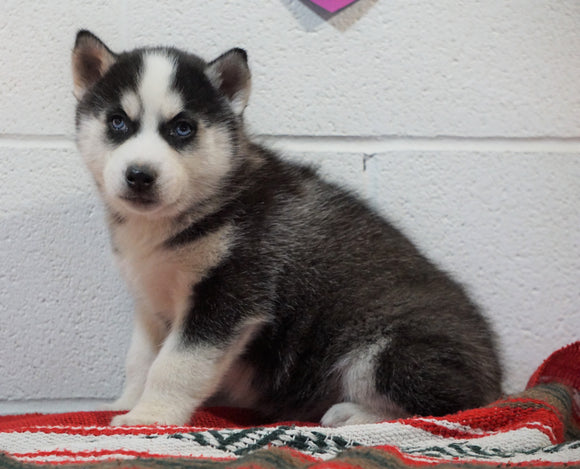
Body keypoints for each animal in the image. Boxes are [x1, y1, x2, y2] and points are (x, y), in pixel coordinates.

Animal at [71, 28, 498, 424]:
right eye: (117, 122)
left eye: (182, 128)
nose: (139, 175)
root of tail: (495, 375)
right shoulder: (149, 299)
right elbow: (140, 361)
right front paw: (125, 404)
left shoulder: (231, 294)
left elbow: (174, 365)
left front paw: (150, 416)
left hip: (388, 352)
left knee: (450, 407)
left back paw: (356, 414)